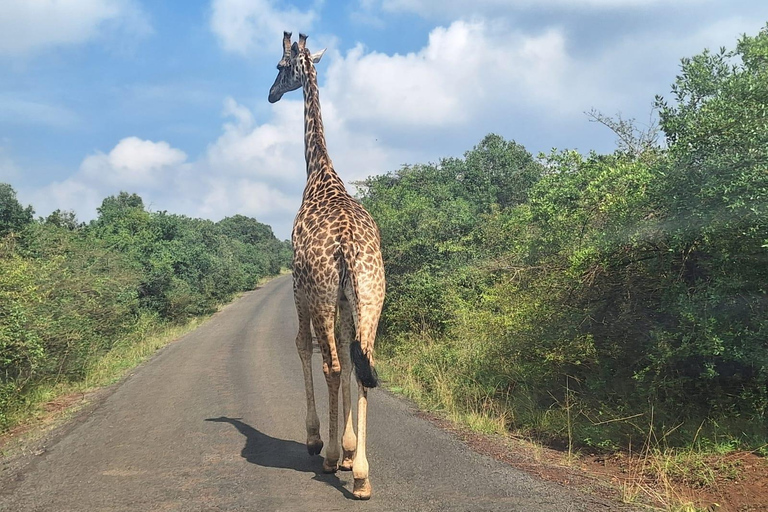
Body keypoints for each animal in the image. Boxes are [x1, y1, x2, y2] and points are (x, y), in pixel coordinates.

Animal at [268, 31, 388, 500]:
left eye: (280, 67)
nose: (270, 94)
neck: (319, 171)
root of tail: (350, 246)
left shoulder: (301, 291)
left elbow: (303, 346)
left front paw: (319, 441)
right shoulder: (344, 301)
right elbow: (354, 366)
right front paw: (352, 451)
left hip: (320, 297)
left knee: (333, 366)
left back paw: (332, 460)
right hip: (372, 298)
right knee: (363, 366)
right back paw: (362, 475)